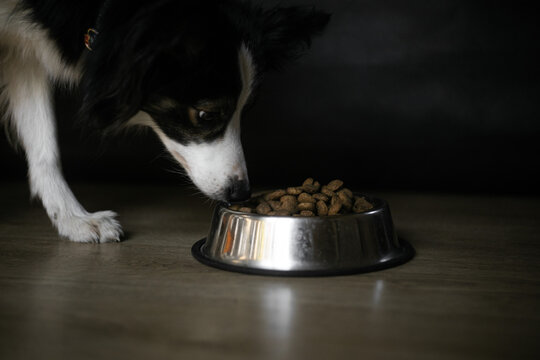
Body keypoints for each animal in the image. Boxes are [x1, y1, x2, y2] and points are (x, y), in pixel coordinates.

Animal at [0, 0, 332, 243]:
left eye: (245, 111)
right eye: (206, 114)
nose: (240, 194)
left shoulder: (22, 51)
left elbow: (44, 146)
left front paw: (73, 219)